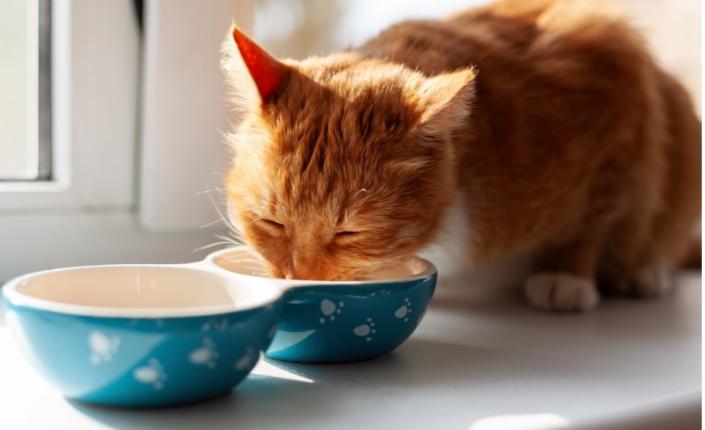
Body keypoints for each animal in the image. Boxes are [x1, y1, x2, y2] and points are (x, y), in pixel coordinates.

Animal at [221, 0, 700, 310]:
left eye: (348, 233)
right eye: (272, 223)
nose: (299, 280)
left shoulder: (613, 88)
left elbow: (589, 221)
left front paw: (566, 275)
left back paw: (643, 273)